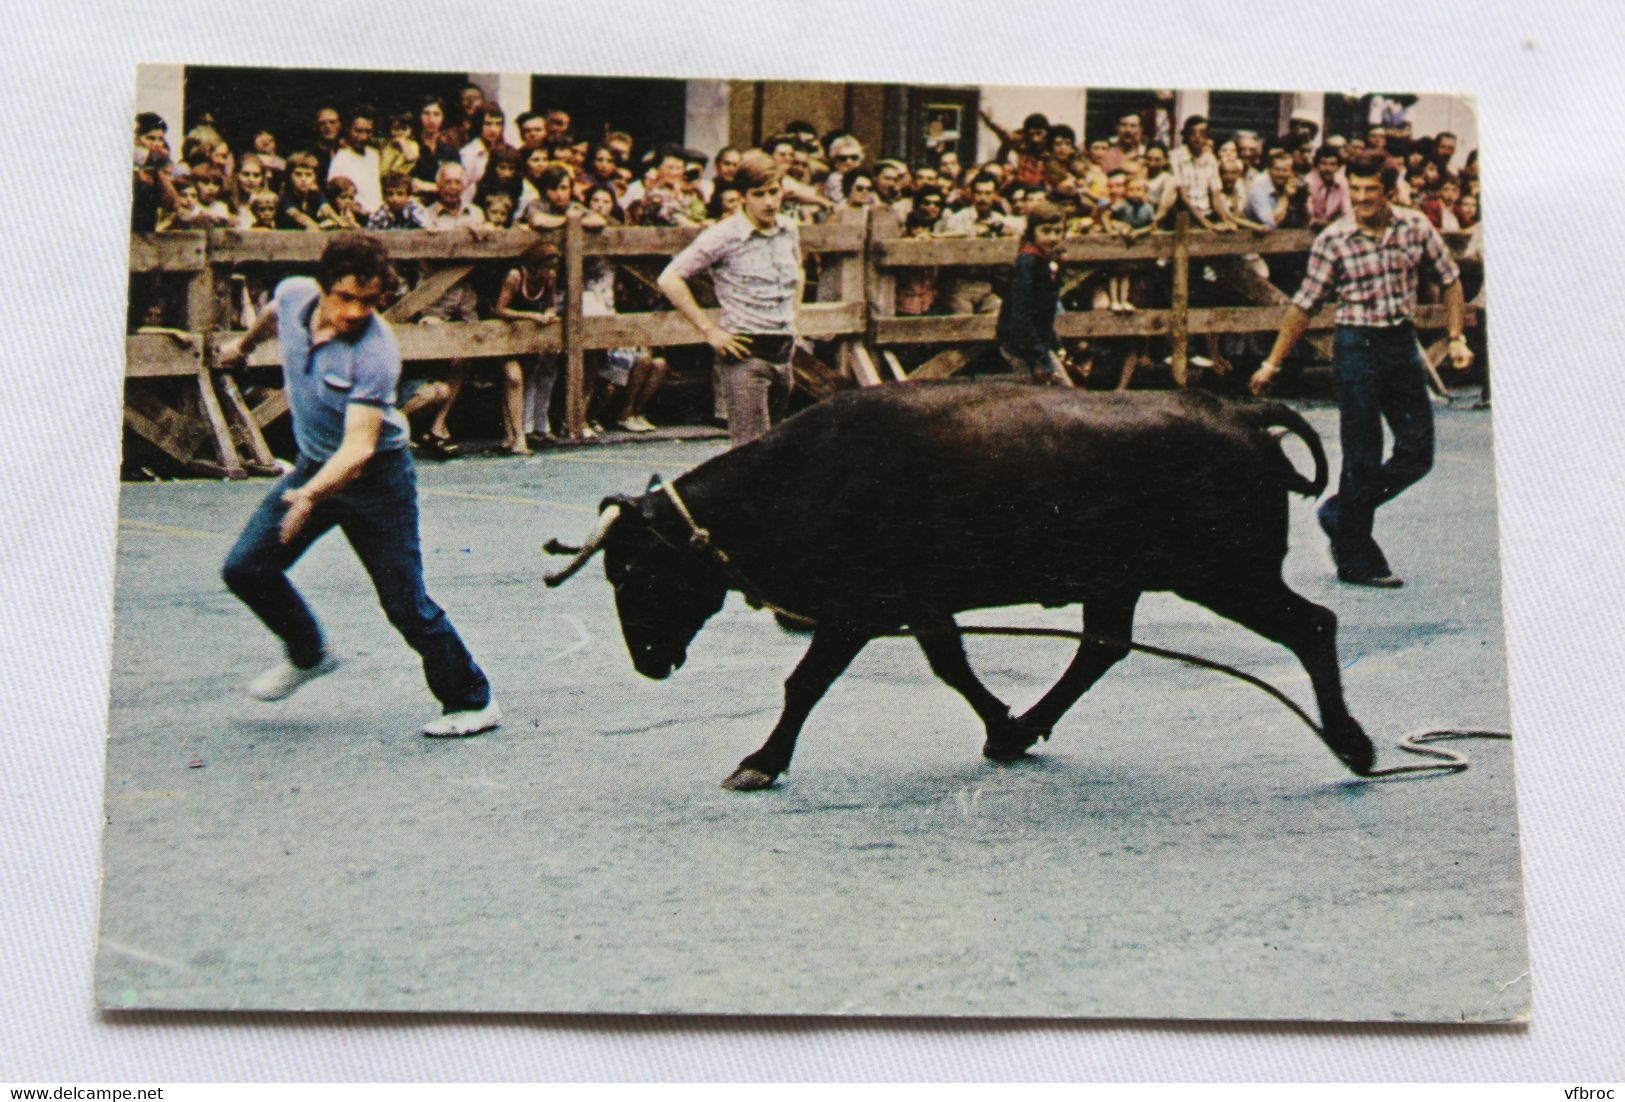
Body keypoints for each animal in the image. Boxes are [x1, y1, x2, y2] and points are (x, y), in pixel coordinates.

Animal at [544, 381, 1375, 791]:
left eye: (636, 569)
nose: (648, 661)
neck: (811, 472)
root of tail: (1238, 411)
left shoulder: (859, 609)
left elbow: (805, 683)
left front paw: (762, 760)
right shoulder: (919, 605)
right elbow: (951, 665)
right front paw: (1001, 726)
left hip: (1227, 576)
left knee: (1312, 626)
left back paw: (1352, 745)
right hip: (1125, 581)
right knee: (1101, 649)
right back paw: (1027, 728)